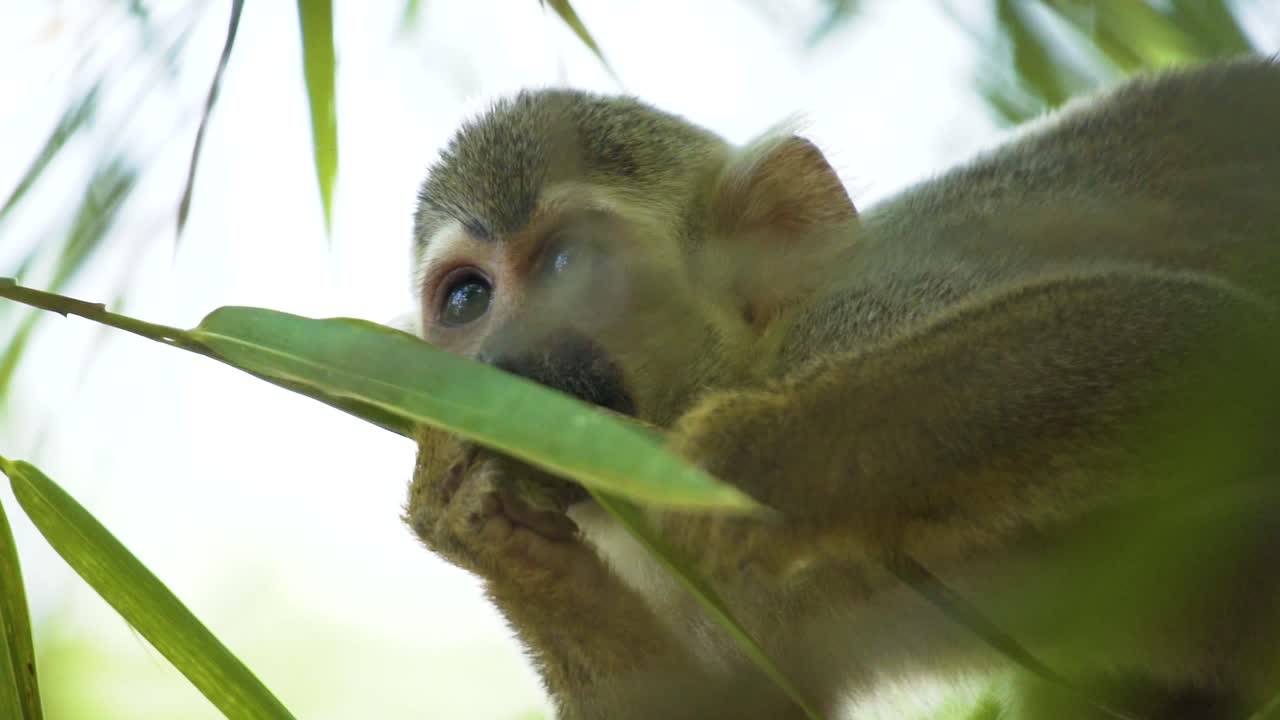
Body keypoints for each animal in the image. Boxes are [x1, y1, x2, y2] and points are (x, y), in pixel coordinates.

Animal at [404, 57, 1280, 720]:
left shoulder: (859, 319)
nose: (501, 363)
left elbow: (1199, 342)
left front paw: (764, 458)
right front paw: (483, 526)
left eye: (565, 264)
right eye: (468, 299)